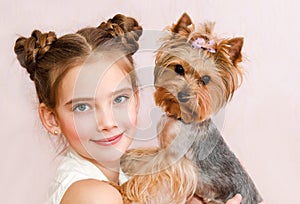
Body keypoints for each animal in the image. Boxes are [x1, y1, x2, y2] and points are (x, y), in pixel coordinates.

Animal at [117, 13, 262, 204]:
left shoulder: (175, 160)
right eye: (179, 68)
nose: (183, 95)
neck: (179, 118)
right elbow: (145, 160)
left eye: (206, 79)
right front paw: (127, 160)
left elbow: (150, 175)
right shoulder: (164, 151)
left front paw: (127, 192)